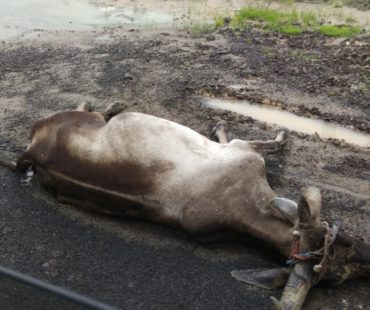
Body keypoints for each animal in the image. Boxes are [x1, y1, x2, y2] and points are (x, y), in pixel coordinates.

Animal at [0, 103, 370, 308]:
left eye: (336, 278)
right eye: (341, 239)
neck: (247, 211)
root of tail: (31, 151)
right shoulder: (243, 152)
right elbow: (260, 141)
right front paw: (268, 133)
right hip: (76, 117)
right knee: (90, 109)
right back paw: (110, 104)